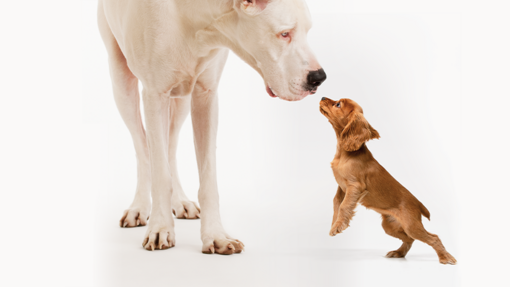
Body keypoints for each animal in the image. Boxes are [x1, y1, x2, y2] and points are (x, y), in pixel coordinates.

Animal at [96, 0, 326, 255]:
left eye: (308, 31)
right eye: (284, 33)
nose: (319, 77)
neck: (196, 20)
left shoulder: (205, 95)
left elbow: (208, 178)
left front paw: (216, 236)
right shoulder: (155, 95)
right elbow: (159, 173)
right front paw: (160, 227)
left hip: (182, 99)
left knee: (170, 146)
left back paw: (180, 201)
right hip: (121, 82)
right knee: (143, 147)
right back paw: (139, 207)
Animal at [320, 97, 456, 266]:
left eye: (338, 104)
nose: (322, 97)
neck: (345, 153)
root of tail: (418, 204)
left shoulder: (355, 186)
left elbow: (344, 205)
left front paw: (338, 226)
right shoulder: (342, 187)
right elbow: (336, 204)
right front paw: (335, 224)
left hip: (411, 225)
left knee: (433, 237)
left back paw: (446, 258)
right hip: (390, 226)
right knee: (410, 239)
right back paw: (398, 253)